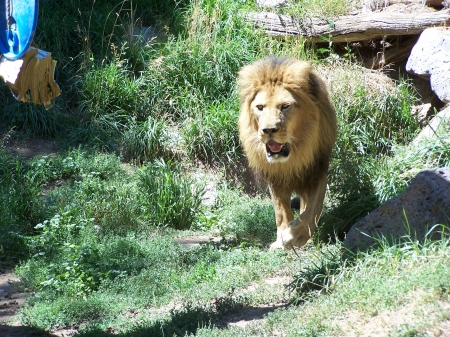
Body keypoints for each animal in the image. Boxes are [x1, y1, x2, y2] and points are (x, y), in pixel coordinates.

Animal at [237, 56, 336, 248]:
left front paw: (295, 235)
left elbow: (313, 206)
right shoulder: (276, 177)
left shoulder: (316, 169)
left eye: (285, 106)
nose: (268, 130)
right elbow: (280, 210)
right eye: (260, 107)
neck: (293, 158)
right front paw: (281, 238)